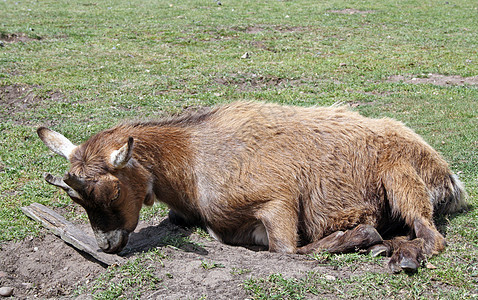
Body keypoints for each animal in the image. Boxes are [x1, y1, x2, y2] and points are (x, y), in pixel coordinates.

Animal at [38, 101, 466, 272]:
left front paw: (360, 234)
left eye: (112, 191)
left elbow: (287, 250)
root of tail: (447, 175)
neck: (191, 160)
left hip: (400, 177)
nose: (106, 245)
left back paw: (399, 253)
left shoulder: (278, 201)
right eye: (77, 201)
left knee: (432, 235)